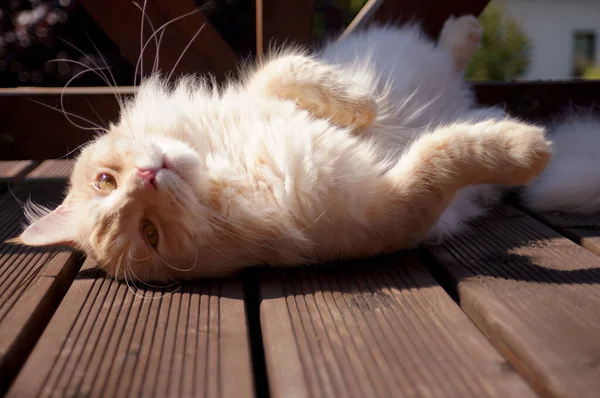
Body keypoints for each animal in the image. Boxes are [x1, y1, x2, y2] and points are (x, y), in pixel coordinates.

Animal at [8, 16, 552, 282]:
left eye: (106, 180)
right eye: (150, 234)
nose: (149, 177)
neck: (227, 165)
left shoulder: (265, 86)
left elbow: (292, 71)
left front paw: (360, 107)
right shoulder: (397, 208)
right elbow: (447, 153)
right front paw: (528, 147)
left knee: (447, 55)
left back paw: (465, 32)